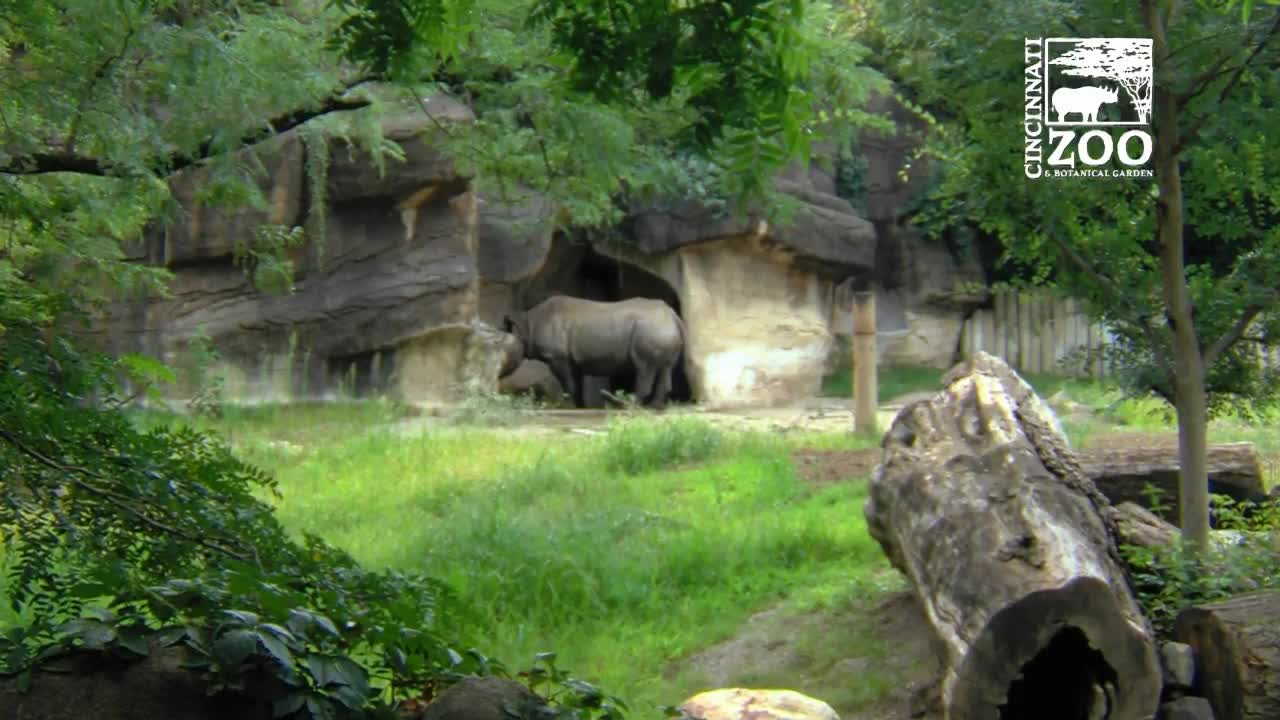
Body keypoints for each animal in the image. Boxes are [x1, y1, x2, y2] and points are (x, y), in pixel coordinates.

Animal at [504, 294, 691, 407]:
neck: (527, 324)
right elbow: (576, 382)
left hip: (650, 327)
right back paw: (654, 407)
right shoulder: (571, 359)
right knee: (664, 367)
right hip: (659, 327)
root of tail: (673, 315)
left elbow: (567, 382)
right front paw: (580, 406)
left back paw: (631, 406)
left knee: (644, 368)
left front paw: (569, 406)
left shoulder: (557, 356)